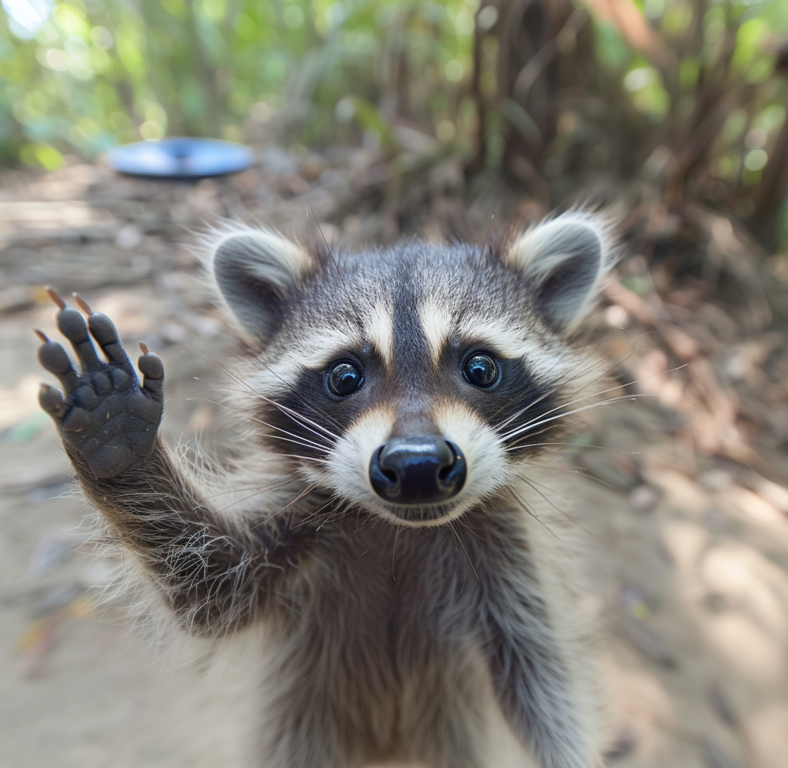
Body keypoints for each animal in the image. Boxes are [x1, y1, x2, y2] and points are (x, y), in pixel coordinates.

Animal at [35, 213, 616, 768]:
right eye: (344, 376)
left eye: (480, 367)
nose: (418, 466)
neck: (401, 530)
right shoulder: (297, 516)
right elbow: (208, 590)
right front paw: (121, 445)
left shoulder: (509, 557)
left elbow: (540, 683)